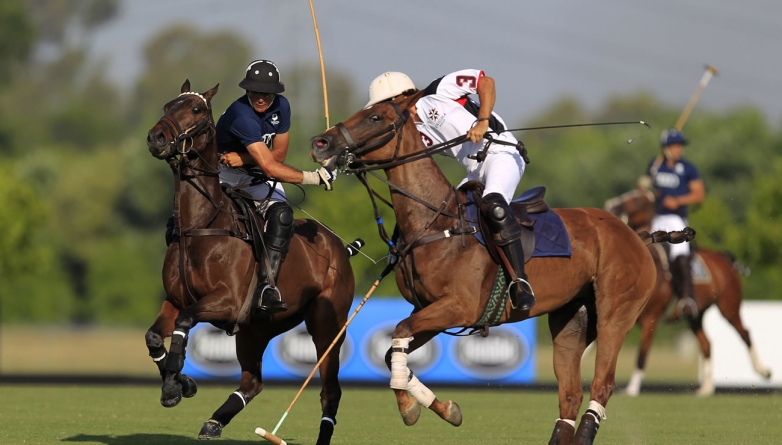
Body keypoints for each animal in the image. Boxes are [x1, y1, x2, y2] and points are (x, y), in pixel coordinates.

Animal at [145, 78, 356, 442]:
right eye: (167, 106)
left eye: (196, 109)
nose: (156, 137)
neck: (201, 225)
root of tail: (340, 248)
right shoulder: (175, 299)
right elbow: (155, 336)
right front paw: (182, 384)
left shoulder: (226, 301)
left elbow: (185, 322)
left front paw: (174, 385)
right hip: (256, 328)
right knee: (252, 382)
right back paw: (214, 422)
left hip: (328, 325)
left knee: (330, 389)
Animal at [310, 91, 696, 444]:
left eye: (375, 117)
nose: (320, 143)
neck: (436, 223)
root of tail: (637, 235)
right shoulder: (432, 311)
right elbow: (394, 350)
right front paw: (441, 408)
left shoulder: (459, 307)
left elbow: (398, 334)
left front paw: (411, 408)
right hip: (573, 320)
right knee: (570, 394)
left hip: (616, 313)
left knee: (602, 384)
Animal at [608, 187, 772, 396]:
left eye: (638, 200)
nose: (612, 205)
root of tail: (725, 257)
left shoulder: (651, 319)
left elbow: (642, 354)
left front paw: (632, 390)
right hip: (696, 315)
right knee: (707, 344)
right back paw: (707, 388)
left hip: (729, 306)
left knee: (745, 333)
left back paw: (764, 371)